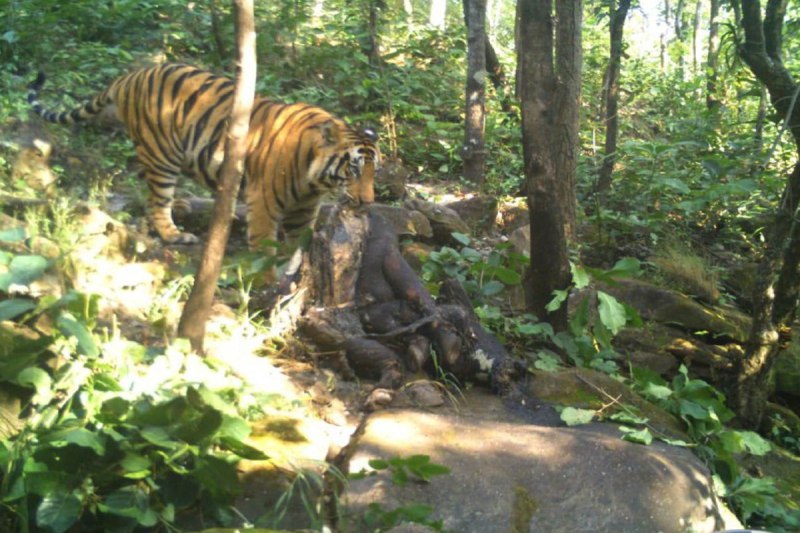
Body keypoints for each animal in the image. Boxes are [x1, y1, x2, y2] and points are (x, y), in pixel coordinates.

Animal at [27, 63, 380, 257]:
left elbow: (297, 245)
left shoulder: (304, 209)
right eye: (353, 169)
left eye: (374, 172)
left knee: (147, 195)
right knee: (157, 202)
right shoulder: (264, 203)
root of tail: (129, 76)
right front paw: (267, 282)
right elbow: (264, 247)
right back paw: (174, 235)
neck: (315, 180)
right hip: (162, 156)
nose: (367, 202)